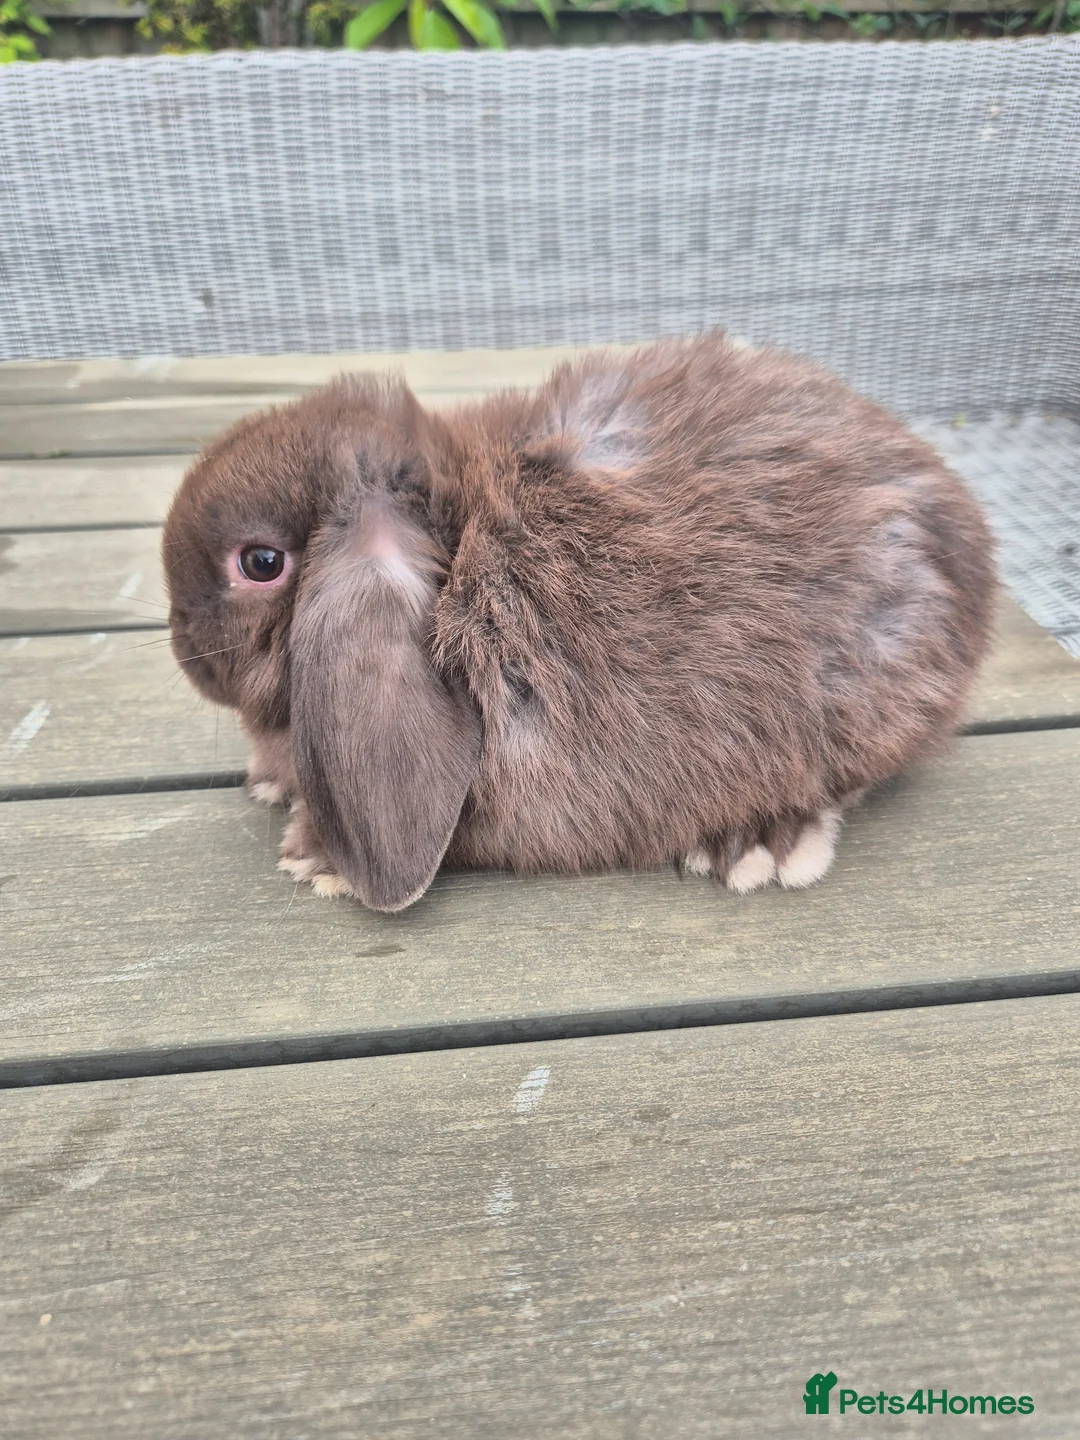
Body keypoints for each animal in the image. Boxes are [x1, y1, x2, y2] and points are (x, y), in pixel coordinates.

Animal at [162, 333, 996, 913]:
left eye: (260, 563)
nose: (182, 650)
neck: (455, 538)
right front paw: (274, 786)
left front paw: (315, 857)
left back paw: (758, 843)